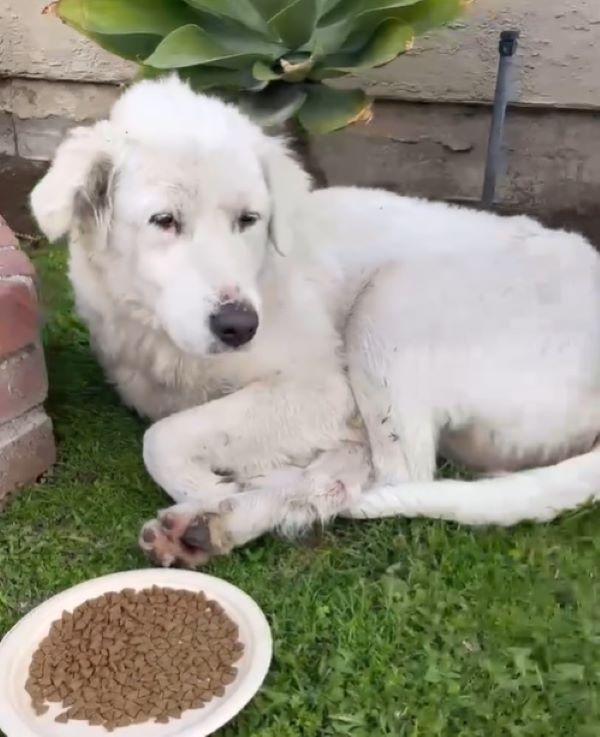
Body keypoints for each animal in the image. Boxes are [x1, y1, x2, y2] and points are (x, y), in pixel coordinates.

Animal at [30, 76, 600, 564]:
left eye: (249, 220)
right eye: (164, 221)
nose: (239, 326)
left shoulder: (324, 390)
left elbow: (164, 437)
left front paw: (214, 490)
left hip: (391, 301)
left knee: (394, 475)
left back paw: (227, 514)